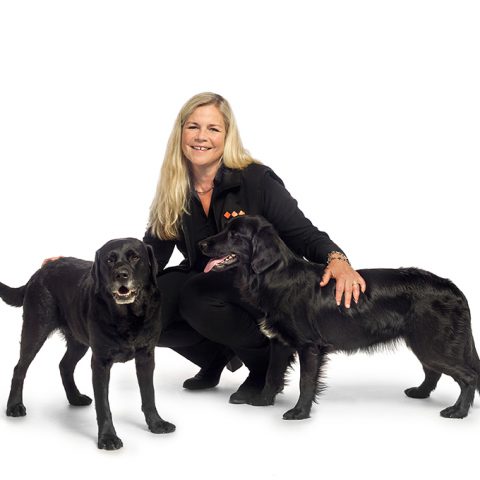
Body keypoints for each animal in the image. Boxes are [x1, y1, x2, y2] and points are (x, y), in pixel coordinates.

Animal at [0, 238, 175, 449]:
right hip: (35, 330)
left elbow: (149, 394)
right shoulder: (100, 362)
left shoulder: (146, 356)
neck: (127, 316)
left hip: (78, 341)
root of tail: (39, 272)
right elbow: (103, 404)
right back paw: (14, 406)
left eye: (135, 257)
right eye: (109, 260)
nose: (121, 275)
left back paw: (74, 398)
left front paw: (156, 423)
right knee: (20, 368)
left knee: (64, 365)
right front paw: (108, 438)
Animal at [200, 215, 480, 420]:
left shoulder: (309, 346)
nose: (202, 244)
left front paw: (299, 412)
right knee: (434, 372)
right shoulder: (279, 342)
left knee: (468, 376)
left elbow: (305, 382)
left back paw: (458, 411)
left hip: (432, 344)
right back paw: (420, 393)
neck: (276, 277)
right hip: (423, 342)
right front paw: (262, 401)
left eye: (235, 235)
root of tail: (453, 288)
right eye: (225, 229)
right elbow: (272, 375)